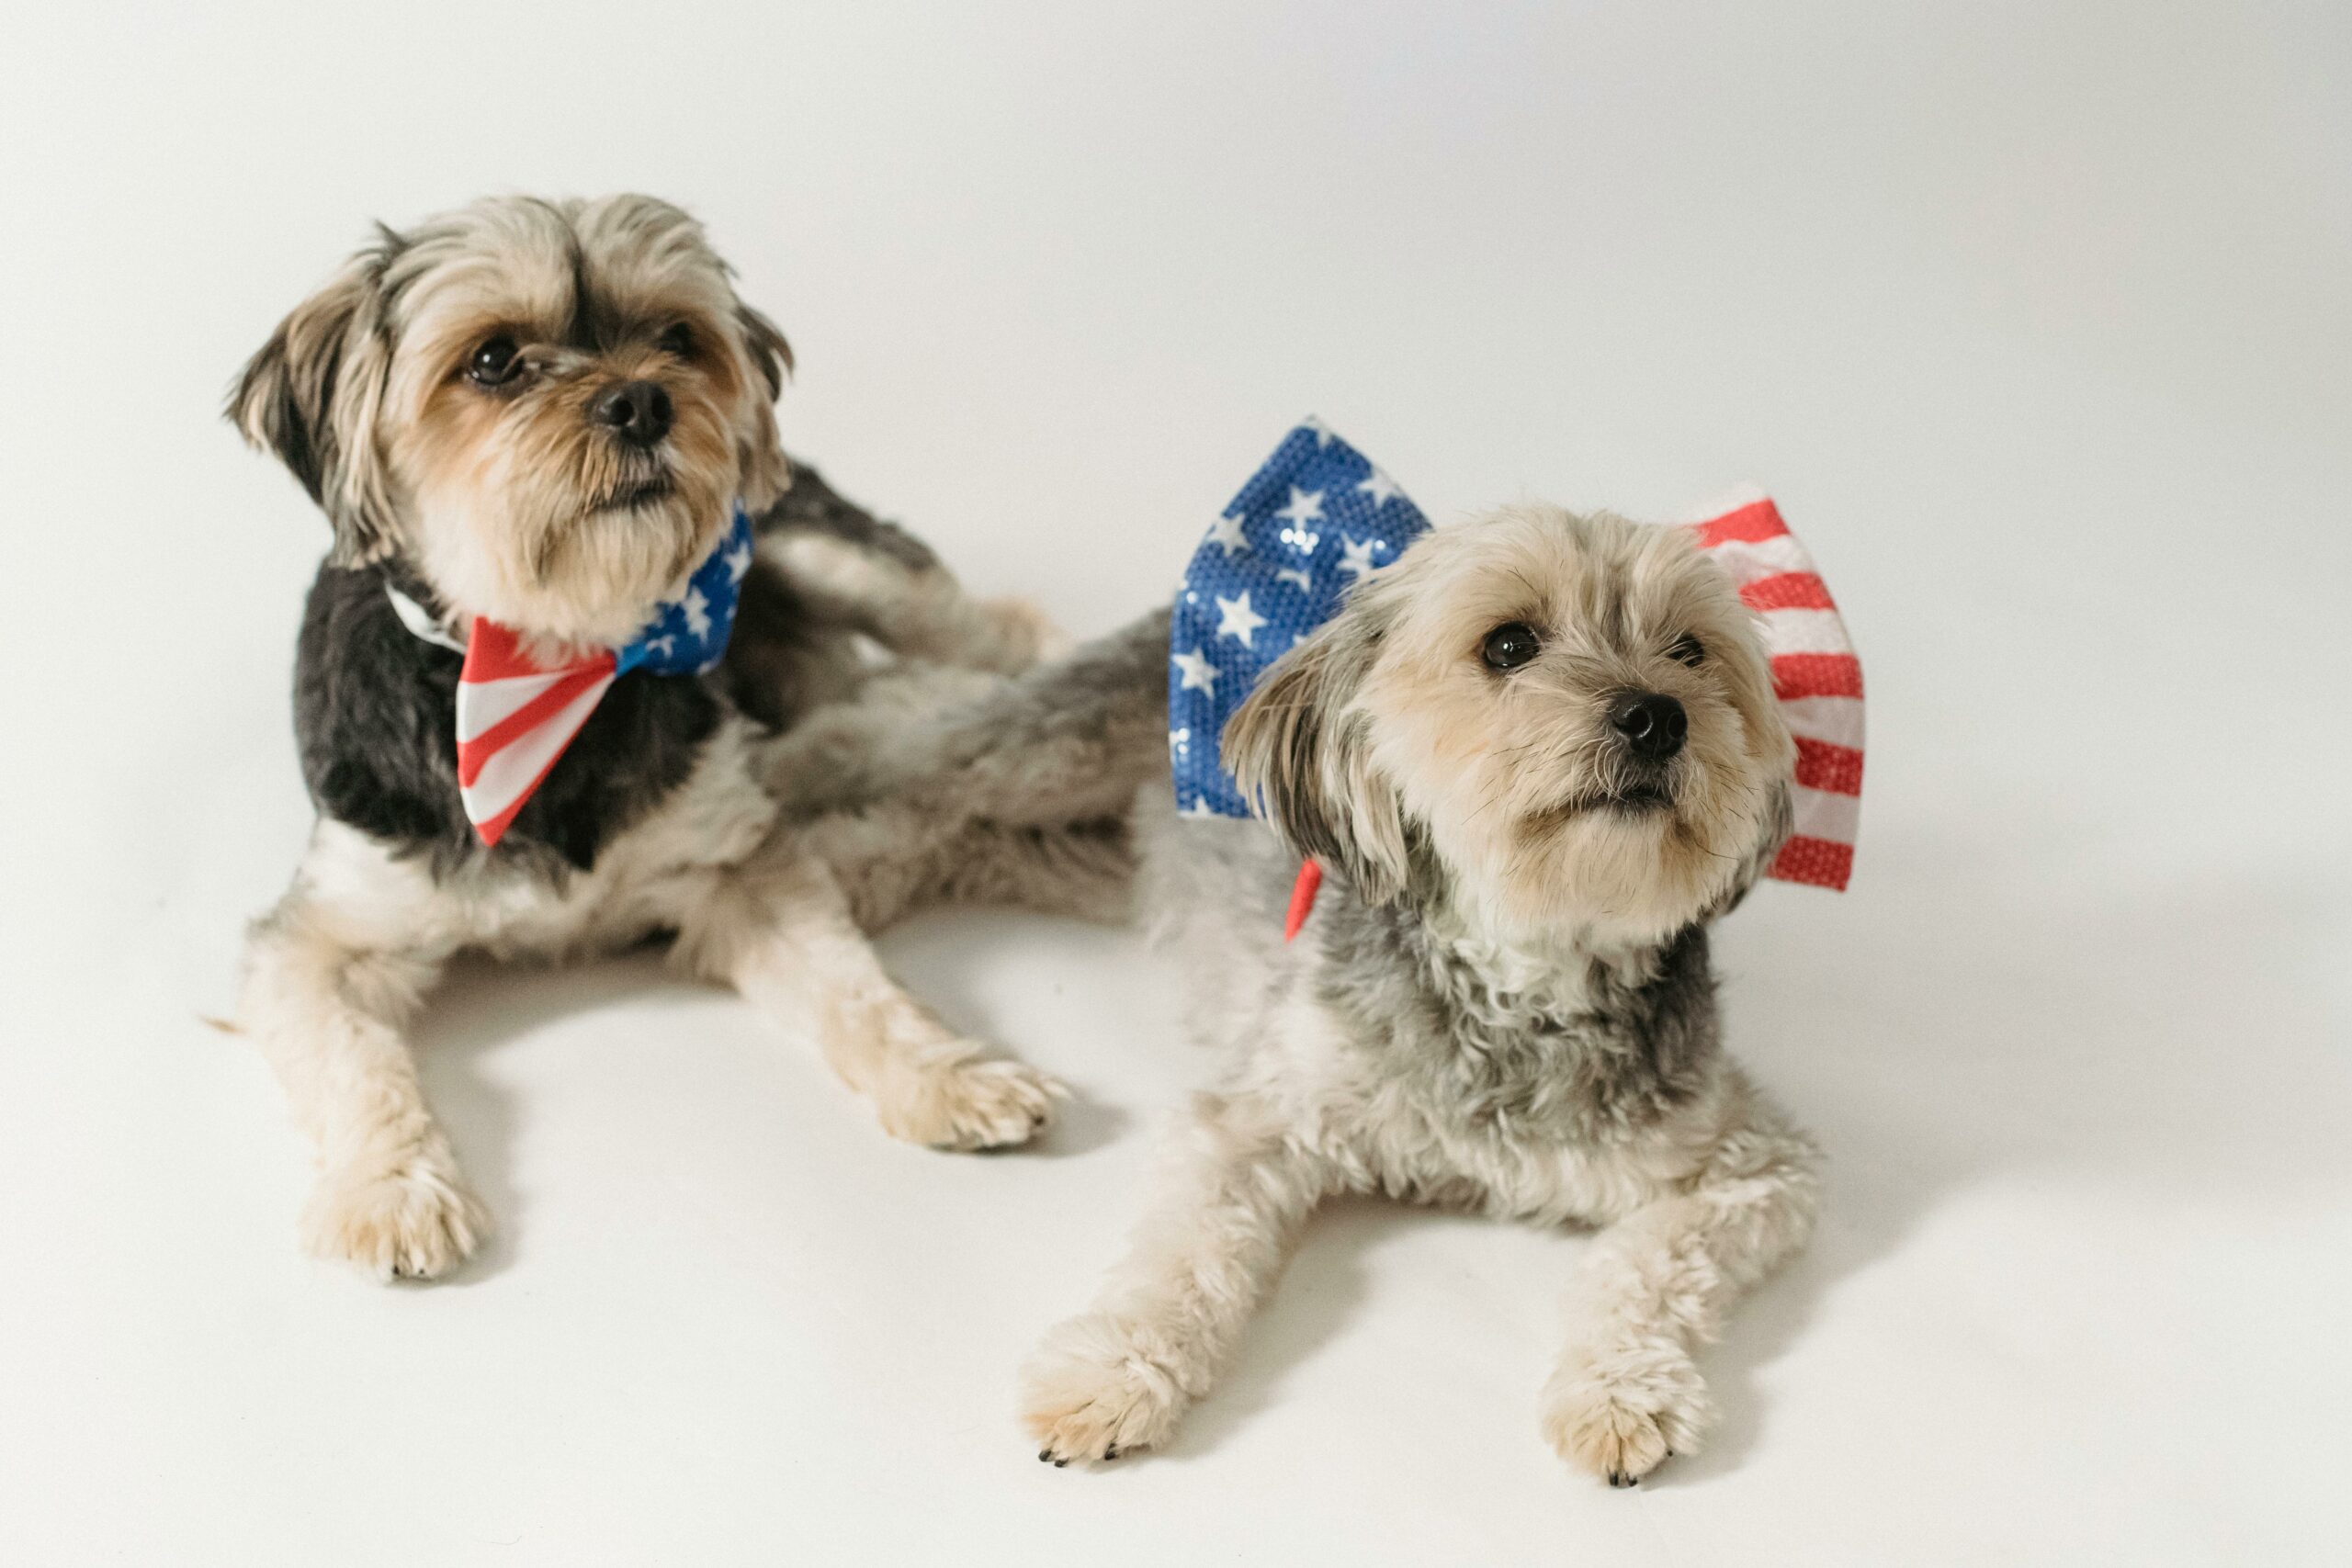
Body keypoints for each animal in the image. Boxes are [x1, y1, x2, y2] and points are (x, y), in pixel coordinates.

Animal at [790, 501, 1815, 1485]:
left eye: (1690, 650)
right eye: (1508, 645)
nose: (1657, 715)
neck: (1525, 971)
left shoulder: (1754, 1166)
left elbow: (1645, 1268)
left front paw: (1618, 1394)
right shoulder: (1254, 1115)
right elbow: (1182, 1260)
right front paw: (1110, 1374)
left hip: (1095, 856)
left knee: (949, 838)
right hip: (1036, 755)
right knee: (894, 735)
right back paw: (782, 839)